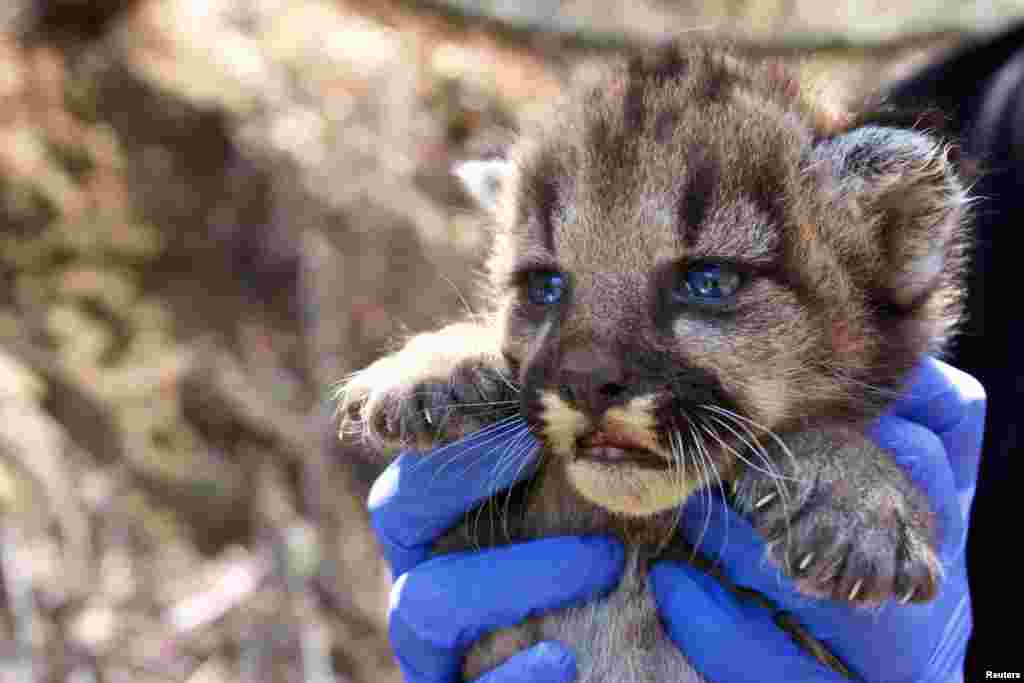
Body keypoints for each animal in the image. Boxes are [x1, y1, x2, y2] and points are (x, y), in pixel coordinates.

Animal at [339, 45, 970, 679]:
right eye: (545, 286)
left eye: (708, 281)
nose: (585, 381)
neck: (640, 531)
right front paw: (436, 368)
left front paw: (858, 500)